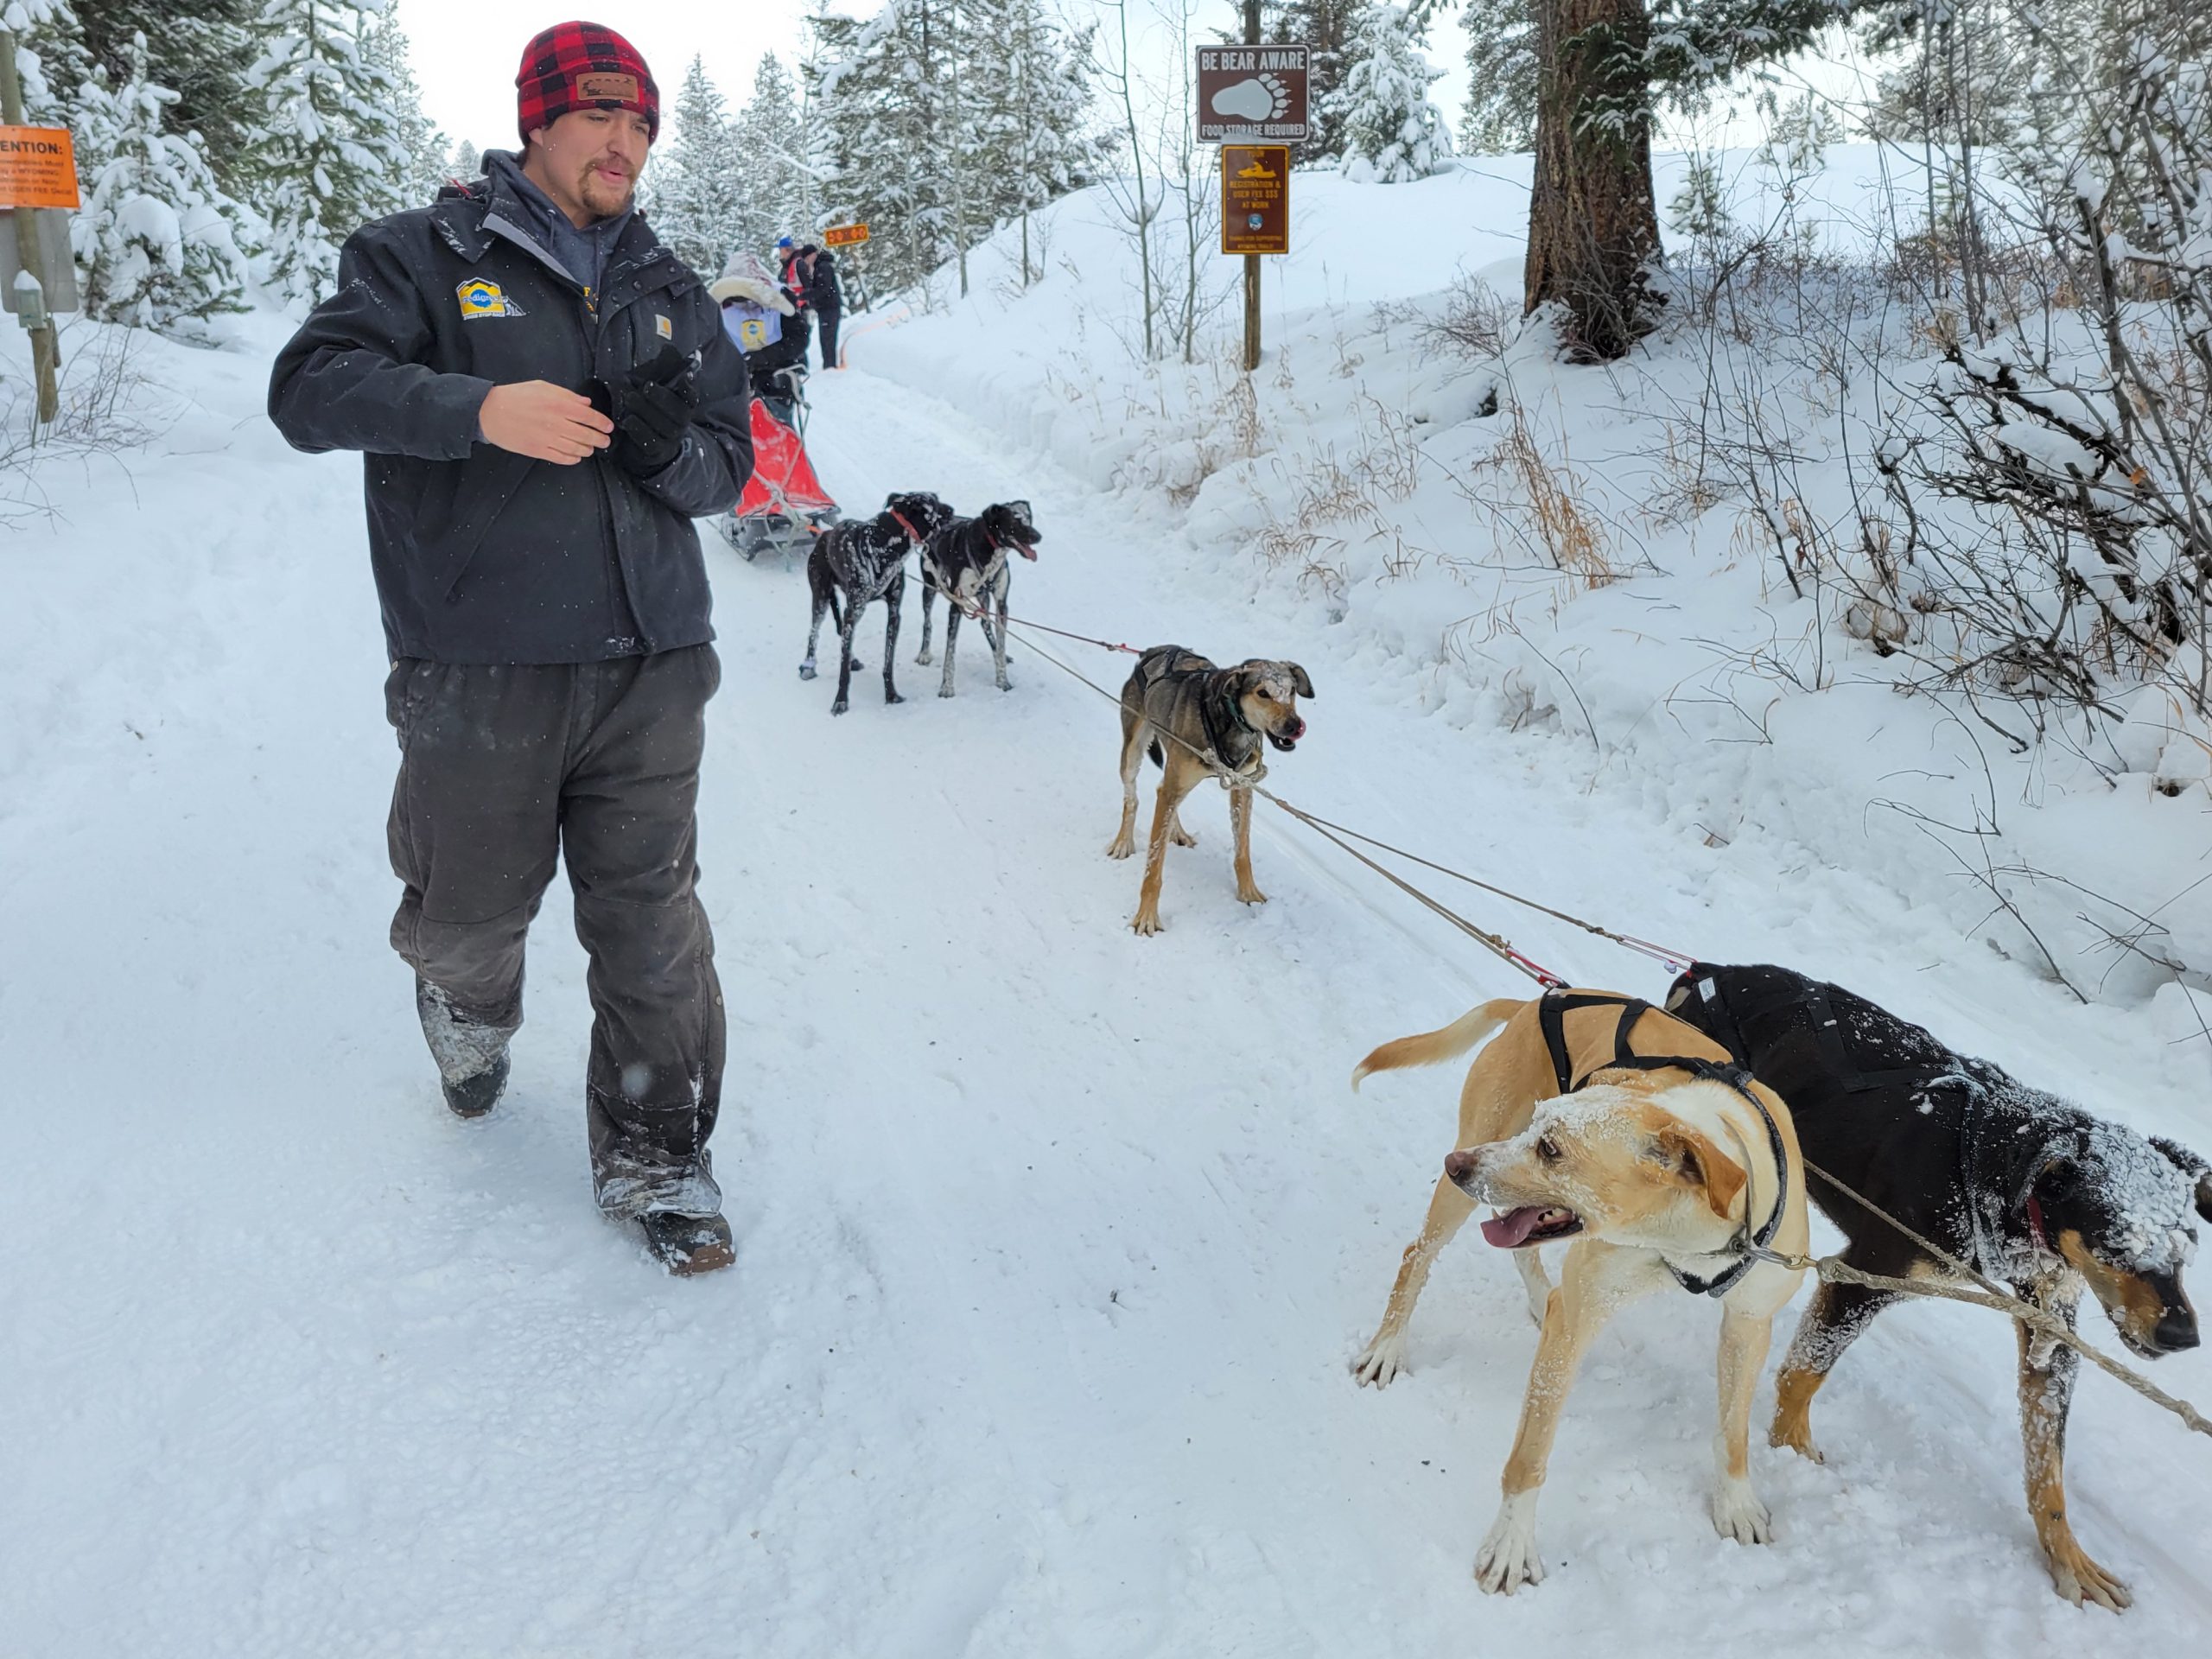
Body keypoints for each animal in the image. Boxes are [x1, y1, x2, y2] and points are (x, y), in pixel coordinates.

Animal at [801, 491, 953, 715]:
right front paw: (840, 701)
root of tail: (824, 536)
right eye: (934, 503)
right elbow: (843, 669)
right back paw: (808, 666)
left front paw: (891, 694)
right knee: (814, 631)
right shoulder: (853, 611)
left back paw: (853, 660)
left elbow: (888, 662)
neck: (885, 545)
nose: (951, 509)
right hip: (820, 597)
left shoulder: (894, 613)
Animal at [914, 500, 1042, 697]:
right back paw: (924, 654)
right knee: (927, 622)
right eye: (1016, 520)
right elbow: (950, 653)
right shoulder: (957, 604)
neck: (991, 550)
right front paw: (947, 688)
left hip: (983, 597)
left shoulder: (1002, 604)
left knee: (985, 623)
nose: (1038, 536)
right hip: (930, 586)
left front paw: (1003, 680)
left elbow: (1001, 642)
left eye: (1029, 518)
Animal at [1104, 645, 1312, 936]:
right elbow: (1154, 866)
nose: (1294, 726)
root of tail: (1153, 651)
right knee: (1132, 797)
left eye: (1291, 690)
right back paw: (1124, 841)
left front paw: (1248, 893)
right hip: (1134, 751)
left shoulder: (1241, 788)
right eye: (1263, 693)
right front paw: (1146, 916)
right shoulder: (1173, 786)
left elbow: (1242, 851)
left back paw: (1176, 831)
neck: (1229, 721)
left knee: (1164, 795)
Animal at [1349, 989, 1809, 1595]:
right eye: (1541, 1125)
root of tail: (1536, 998)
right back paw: (1387, 1346)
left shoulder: (1749, 1324)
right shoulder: (1578, 1316)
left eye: (1550, 1148)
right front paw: (1512, 1545)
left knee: (1519, 1249)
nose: (1456, 1165)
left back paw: (1534, 1298)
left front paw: (1736, 1503)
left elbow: (1733, 1431)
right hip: (1467, 1177)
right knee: (1417, 1257)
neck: (1683, 1241)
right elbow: (1530, 1454)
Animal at [1667, 962, 2211, 1612]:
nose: (2182, 1335)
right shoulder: (1865, 1278)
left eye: (2187, 1245)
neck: (1992, 1168)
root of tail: (1714, 971)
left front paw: (2068, 1557)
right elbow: (1803, 1375)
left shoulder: (2050, 1331)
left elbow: (2048, 1468)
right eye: (2115, 1243)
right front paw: (1790, 1450)